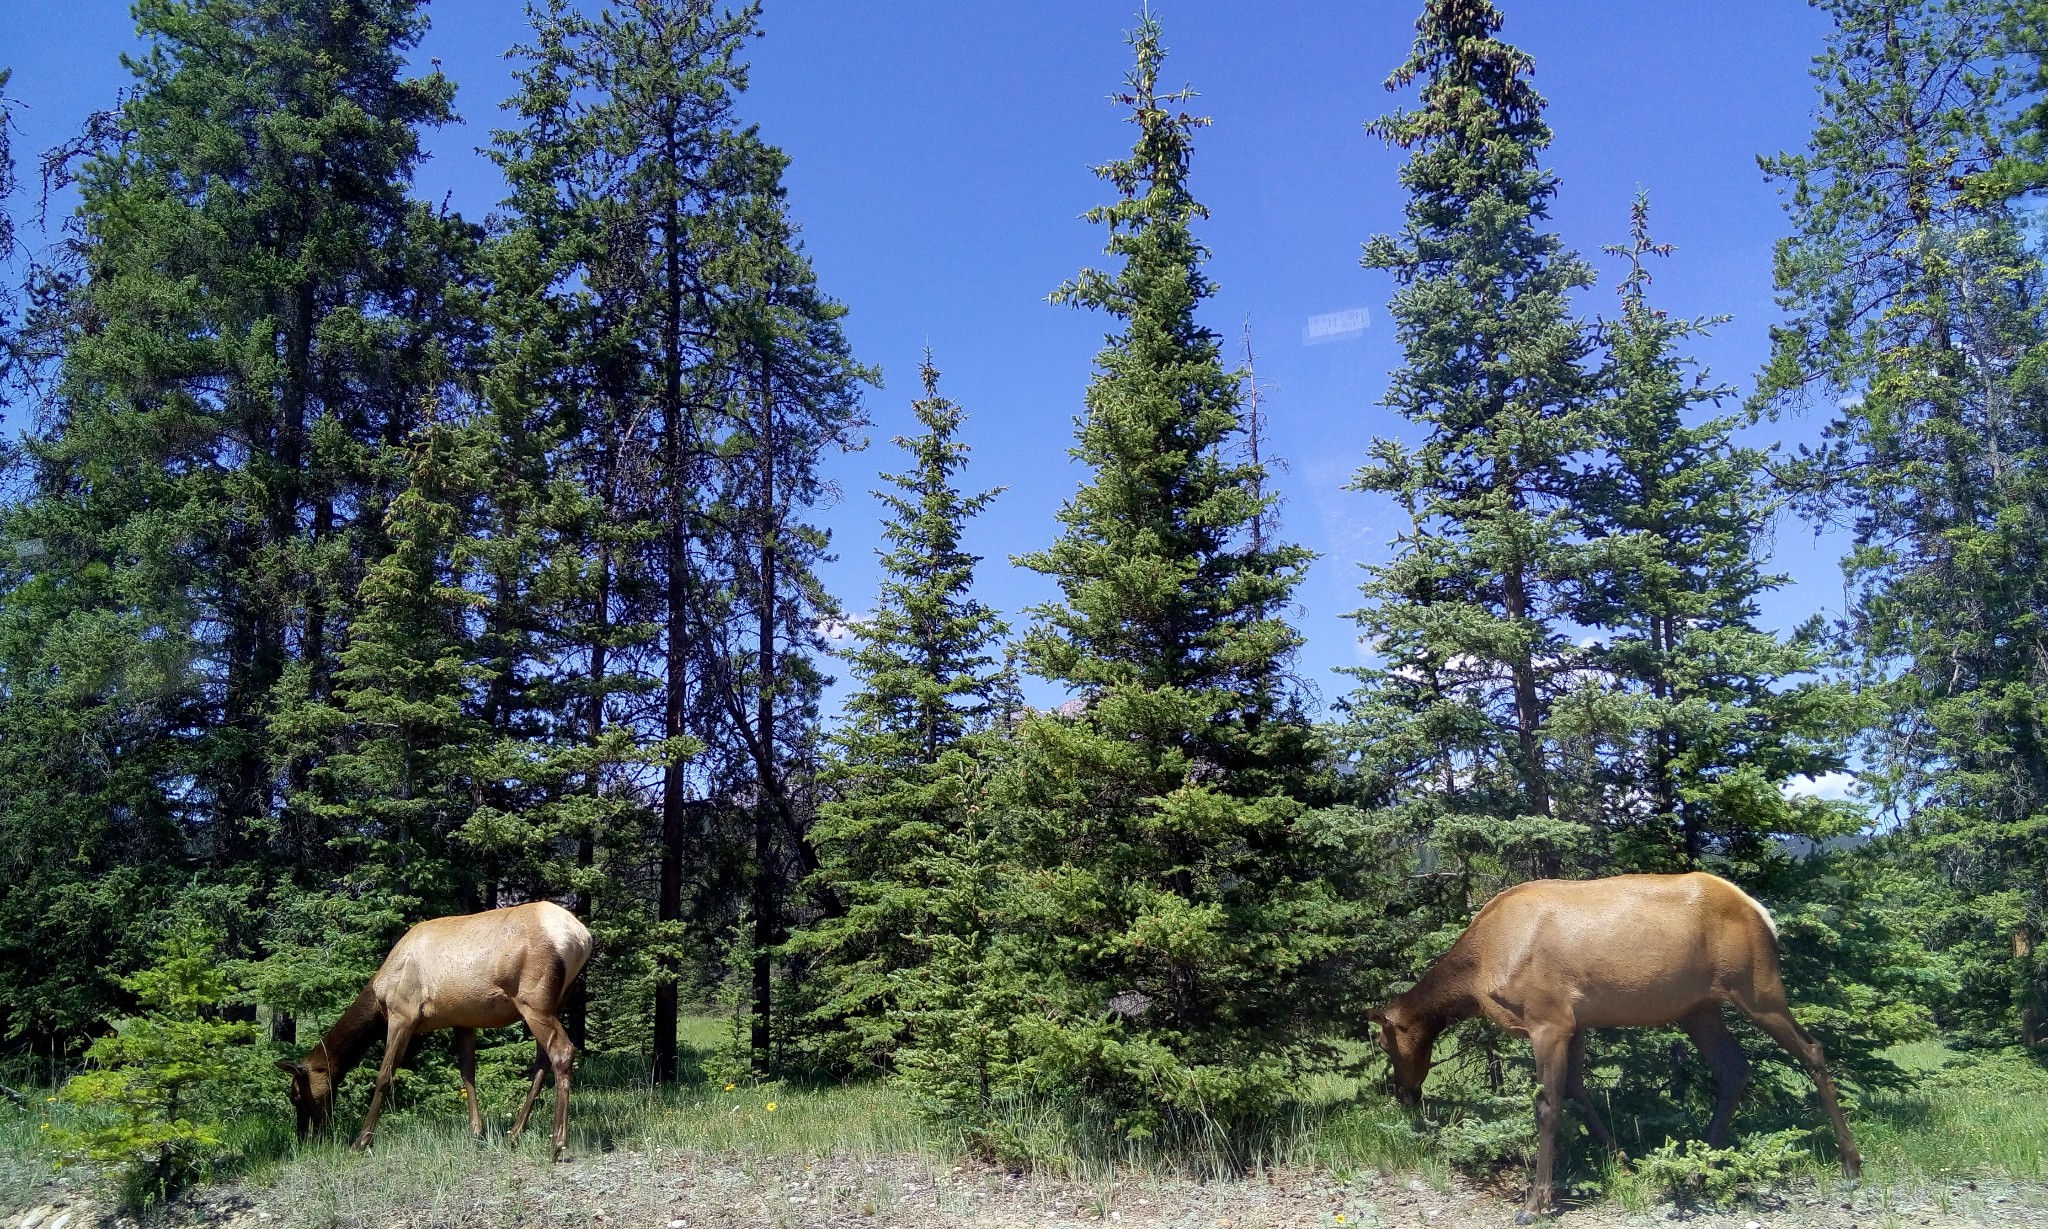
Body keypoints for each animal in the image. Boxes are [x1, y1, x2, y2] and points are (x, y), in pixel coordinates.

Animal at [276, 897, 593, 1155]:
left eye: (296, 1095)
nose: (304, 1139)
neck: (379, 995)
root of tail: (583, 937)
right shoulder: (462, 1020)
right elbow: (467, 1074)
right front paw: (476, 1133)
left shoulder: (402, 1014)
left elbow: (384, 1076)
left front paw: (360, 1141)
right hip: (555, 1000)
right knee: (542, 1060)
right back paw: (514, 1132)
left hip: (534, 1000)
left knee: (563, 1051)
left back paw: (557, 1143)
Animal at [1368, 868, 1867, 1220]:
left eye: (1387, 1045)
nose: (1404, 1094)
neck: (1479, 972)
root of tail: (1762, 912)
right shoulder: (1576, 1022)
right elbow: (1578, 1092)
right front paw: (1625, 1164)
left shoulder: (1548, 1020)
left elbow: (1548, 1107)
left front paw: (1536, 1203)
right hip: (1700, 1008)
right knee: (1734, 1070)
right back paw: (1698, 1173)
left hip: (1757, 989)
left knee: (1813, 1050)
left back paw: (1851, 1165)